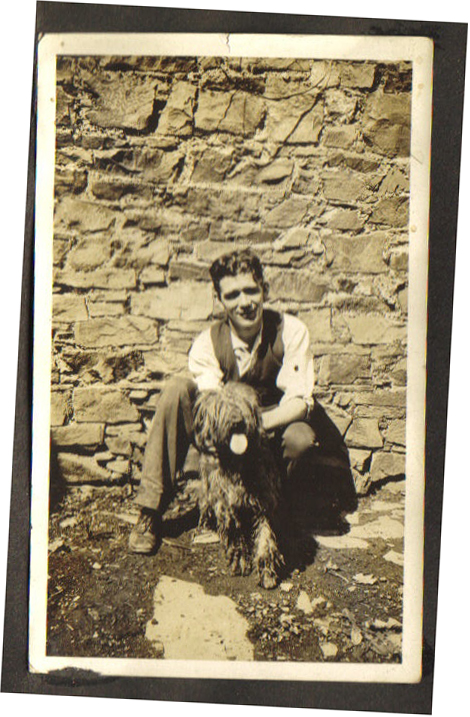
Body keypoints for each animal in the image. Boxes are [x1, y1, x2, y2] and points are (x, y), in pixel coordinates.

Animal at [192, 382, 284, 589]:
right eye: (221, 406)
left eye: (244, 403)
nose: (236, 422)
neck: (238, 461)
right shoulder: (226, 504)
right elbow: (234, 531)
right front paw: (239, 559)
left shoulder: (264, 502)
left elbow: (265, 536)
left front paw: (267, 571)